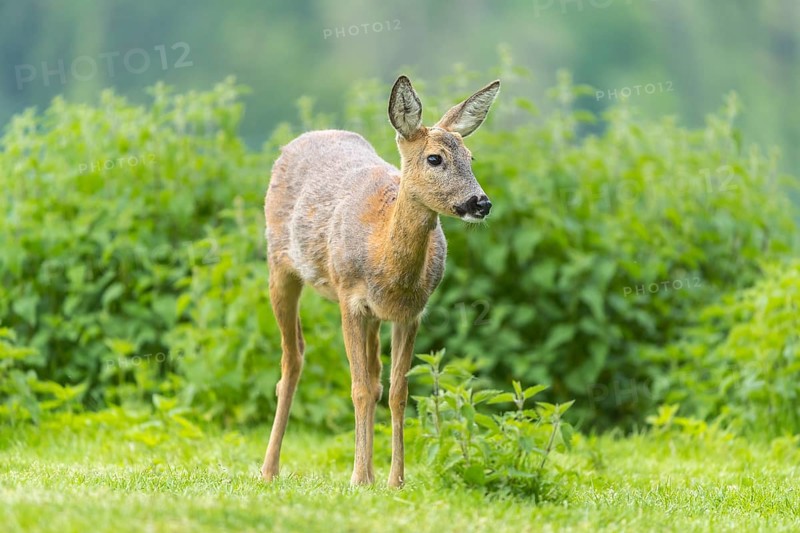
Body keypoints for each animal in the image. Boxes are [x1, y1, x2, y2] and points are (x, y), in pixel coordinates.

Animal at [261, 75, 500, 487]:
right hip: (280, 265)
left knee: (372, 379)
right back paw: (269, 469)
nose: (480, 203)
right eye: (434, 158)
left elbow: (396, 392)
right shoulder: (350, 299)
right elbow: (357, 388)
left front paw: (394, 480)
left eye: (471, 158)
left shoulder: (410, 313)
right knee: (292, 359)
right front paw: (358, 478)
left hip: (373, 317)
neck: (386, 262)